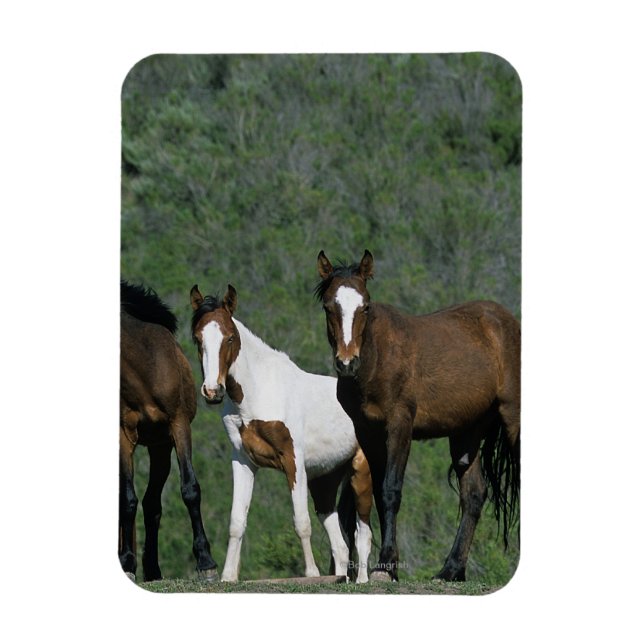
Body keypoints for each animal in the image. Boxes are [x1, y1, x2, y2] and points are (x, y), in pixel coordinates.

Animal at [120, 281, 218, 582]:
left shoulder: (178, 425)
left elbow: (190, 489)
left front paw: (206, 562)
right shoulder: (123, 435)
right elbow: (127, 498)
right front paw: (127, 563)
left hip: (160, 447)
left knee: (152, 503)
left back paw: (153, 569)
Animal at [190, 283, 373, 582]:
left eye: (230, 338)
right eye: (197, 339)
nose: (213, 391)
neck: (259, 392)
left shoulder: (292, 461)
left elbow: (301, 522)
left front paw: (310, 574)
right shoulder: (243, 461)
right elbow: (237, 521)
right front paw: (228, 576)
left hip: (361, 472)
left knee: (363, 534)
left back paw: (361, 581)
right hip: (324, 482)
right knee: (341, 546)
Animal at [315, 250, 520, 582]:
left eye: (365, 306)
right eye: (328, 306)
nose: (347, 363)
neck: (376, 359)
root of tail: (506, 323)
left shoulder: (400, 426)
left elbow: (391, 490)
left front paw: (385, 565)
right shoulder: (368, 433)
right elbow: (379, 492)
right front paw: (390, 566)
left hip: (513, 419)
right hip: (465, 433)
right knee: (474, 495)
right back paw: (451, 570)